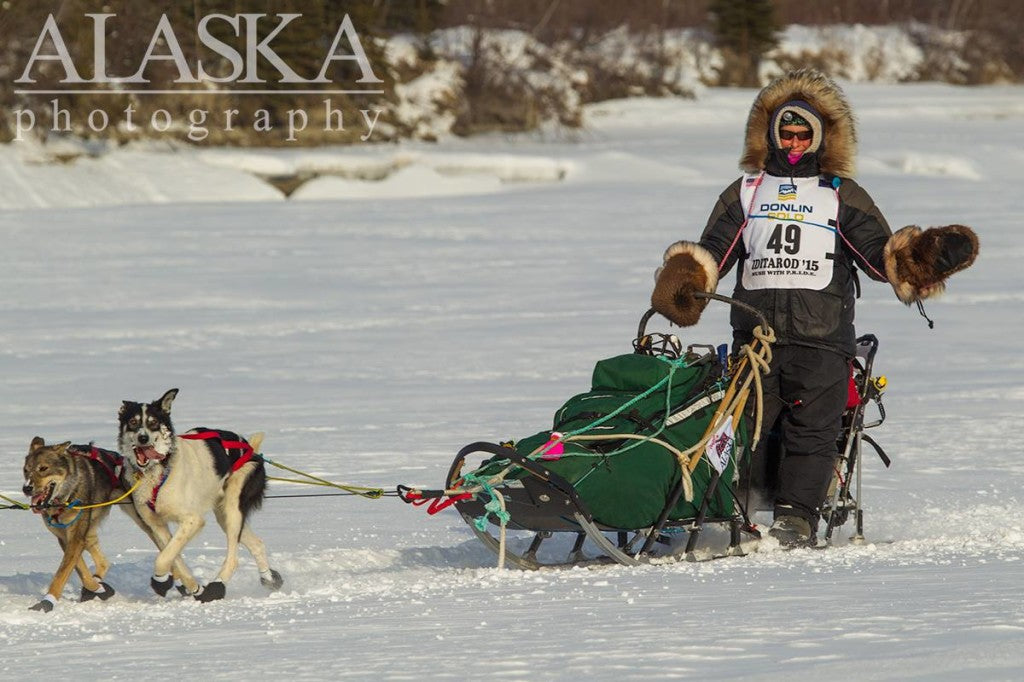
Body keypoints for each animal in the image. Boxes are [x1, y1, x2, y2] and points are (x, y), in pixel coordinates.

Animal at [117, 387, 282, 602]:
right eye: (133, 422)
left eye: (153, 423)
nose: (143, 438)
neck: (160, 470)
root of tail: (250, 448)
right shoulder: (156, 524)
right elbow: (173, 556)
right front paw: (192, 587)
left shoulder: (192, 520)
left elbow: (164, 556)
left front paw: (161, 580)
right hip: (223, 514)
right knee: (257, 544)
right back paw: (269, 577)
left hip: (234, 506)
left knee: (233, 556)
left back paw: (218, 585)